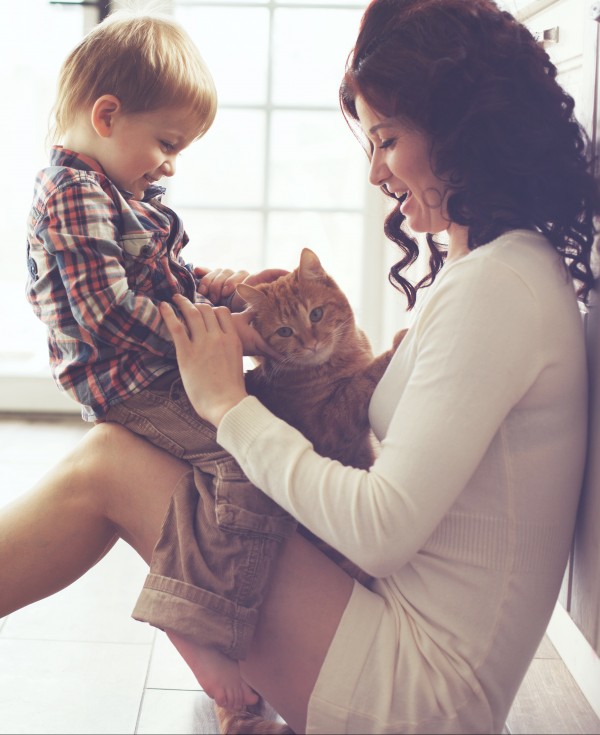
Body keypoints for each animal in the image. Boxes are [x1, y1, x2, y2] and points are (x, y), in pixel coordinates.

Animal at [213, 249, 406, 735]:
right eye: (285, 331)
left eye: (316, 314)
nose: (310, 340)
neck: (338, 359)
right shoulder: (332, 426)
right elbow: (363, 383)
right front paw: (396, 343)